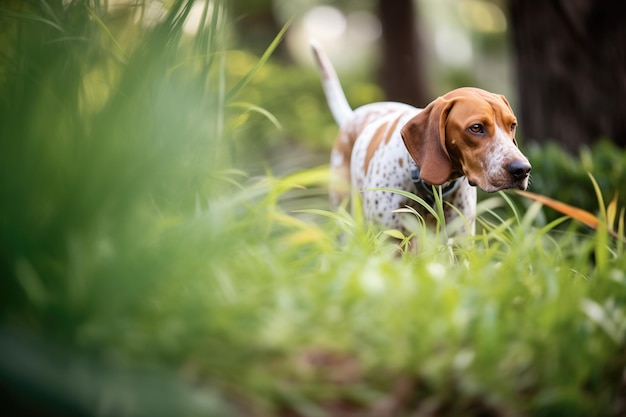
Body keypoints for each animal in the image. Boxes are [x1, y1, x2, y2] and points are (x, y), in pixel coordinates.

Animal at [310, 40, 528, 236]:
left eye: (512, 126)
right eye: (476, 128)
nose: (522, 169)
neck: (432, 188)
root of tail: (352, 116)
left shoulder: (461, 240)